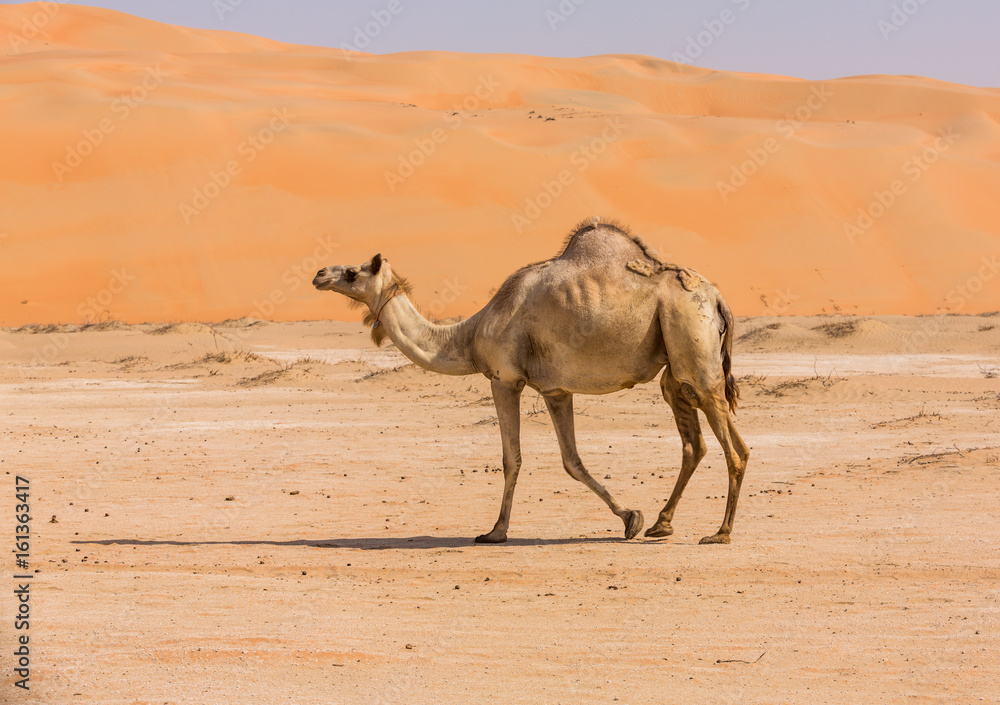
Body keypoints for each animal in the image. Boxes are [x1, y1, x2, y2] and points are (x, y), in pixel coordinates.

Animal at [314, 220, 752, 544]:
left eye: (352, 272)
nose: (319, 273)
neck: (469, 336)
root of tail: (717, 298)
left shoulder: (505, 378)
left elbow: (512, 458)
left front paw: (495, 532)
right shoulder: (556, 389)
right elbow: (572, 460)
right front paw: (632, 518)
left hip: (691, 342)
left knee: (732, 447)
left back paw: (720, 533)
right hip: (678, 368)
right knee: (700, 443)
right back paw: (662, 524)